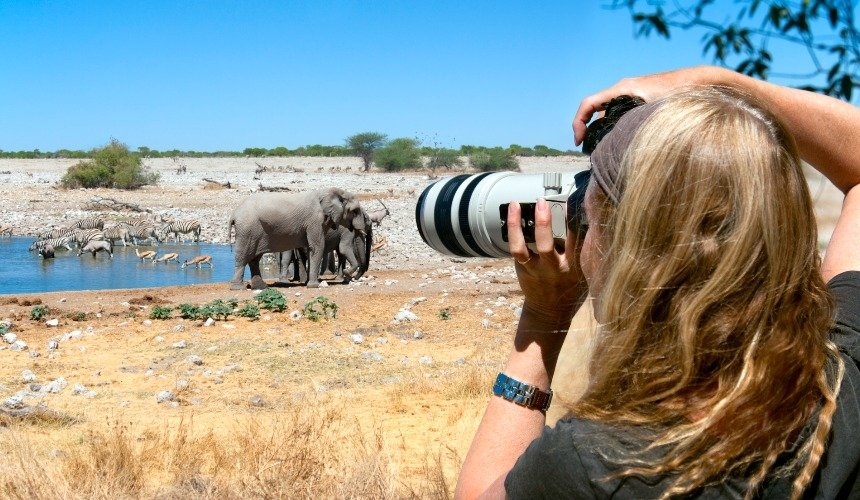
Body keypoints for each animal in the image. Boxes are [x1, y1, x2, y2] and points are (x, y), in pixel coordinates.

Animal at [228, 188, 366, 290]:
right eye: (355, 211)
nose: (348, 273)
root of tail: (234, 214)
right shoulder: (314, 221)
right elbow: (317, 247)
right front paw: (314, 286)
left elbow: (311, 249)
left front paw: (308, 283)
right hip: (247, 229)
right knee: (243, 256)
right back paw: (238, 288)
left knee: (254, 259)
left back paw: (261, 287)